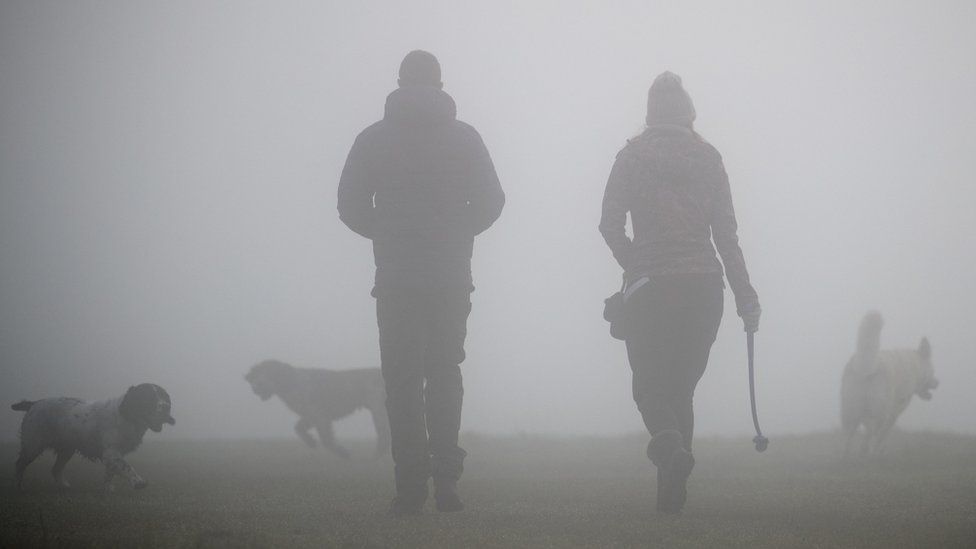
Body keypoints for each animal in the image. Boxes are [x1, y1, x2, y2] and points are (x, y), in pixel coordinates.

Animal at [10, 382, 175, 488]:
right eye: (149, 397)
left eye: (164, 396)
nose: (166, 407)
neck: (127, 417)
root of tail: (34, 403)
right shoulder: (111, 452)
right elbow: (126, 466)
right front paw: (138, 482)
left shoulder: (115, 454)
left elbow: (111, 473)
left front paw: (108, 489)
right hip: (33, 445)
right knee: (20, 464)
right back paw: (18, 485)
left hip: (66, 450)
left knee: (56, 469)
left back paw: (64, 486)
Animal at [244, 360, 388, 458]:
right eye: (254, 375)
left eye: (266, 372)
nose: (255, 387)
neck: (292, 382)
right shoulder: (310, 416)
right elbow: (298, 428)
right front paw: (311, 442)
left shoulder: (319, 416)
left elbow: (326, 440)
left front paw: (343, 452)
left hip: (378, 410)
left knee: (383, 435)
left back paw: (377, 456)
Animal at [840, 310, 936, 456]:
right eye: (933, 370)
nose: (938, 383)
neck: (914, 365)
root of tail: (865, 367)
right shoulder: (894, 412)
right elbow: (883, 435)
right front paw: (879, 450)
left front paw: (863, 450)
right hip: (877, 415)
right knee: (873, 439)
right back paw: (873, 455)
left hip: (849, 414)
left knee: (847, 442)